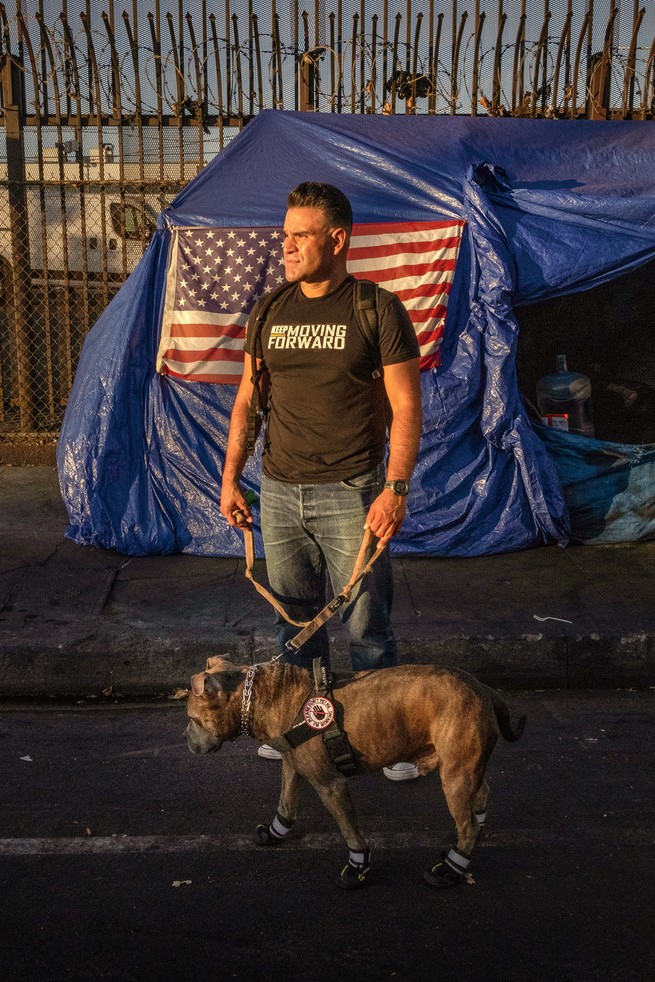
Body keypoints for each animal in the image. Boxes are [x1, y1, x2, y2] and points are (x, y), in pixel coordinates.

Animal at [187, 660, 524, 892]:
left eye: (192, 718)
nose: (184, 738)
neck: (263, 698)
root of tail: (482, 687)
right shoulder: (293, 767)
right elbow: (285, 803)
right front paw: (274, 832)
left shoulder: (331, 785)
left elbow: (350, 831)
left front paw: (357, 866)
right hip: (463, 768)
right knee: (481, 794)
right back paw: (469, 840)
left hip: (455, 775)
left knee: (467, 824)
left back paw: (452, 868)